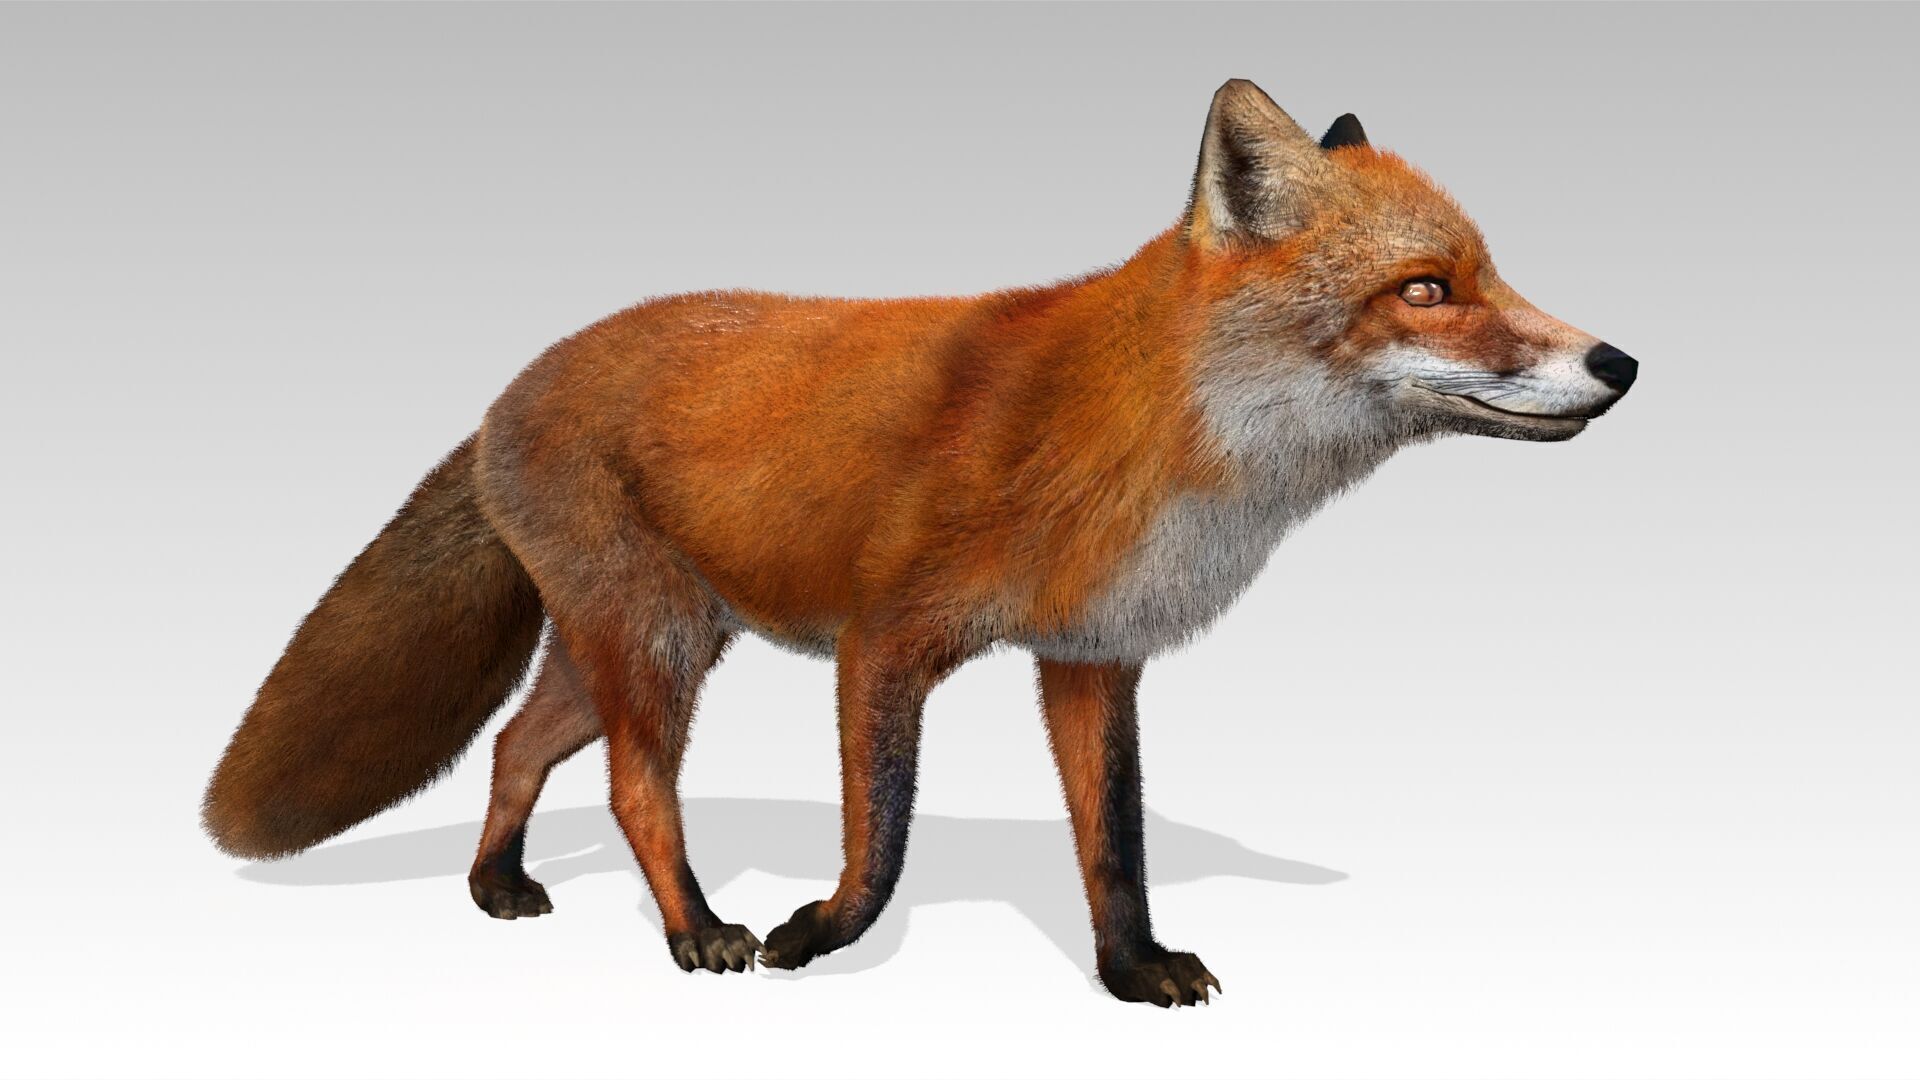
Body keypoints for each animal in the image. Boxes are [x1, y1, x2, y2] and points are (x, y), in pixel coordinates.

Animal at [203, 79, 1638, 1007]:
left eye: (1489, 274)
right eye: (1427, 289)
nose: (1617, 362)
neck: (1147, 430)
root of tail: (512, 384)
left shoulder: (1089, 656)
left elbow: (1114, 844)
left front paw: (1130, 974)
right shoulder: (885, 641)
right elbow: (881, 839)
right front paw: (818, 935)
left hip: (643, 641)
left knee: (513, 744)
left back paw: (495, 885)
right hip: (654, 645)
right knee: (632, 786)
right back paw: (699, 930)